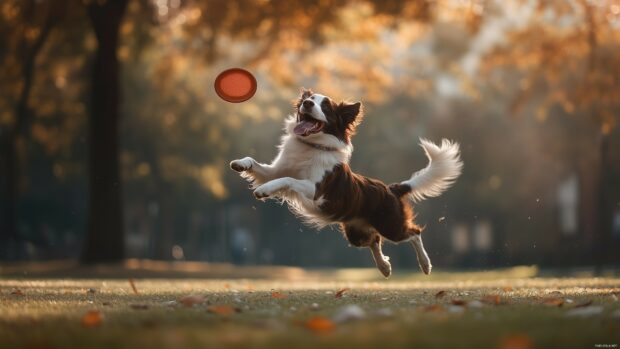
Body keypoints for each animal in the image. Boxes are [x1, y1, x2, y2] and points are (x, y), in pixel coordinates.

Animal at [230, 89, 462, 278]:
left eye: (325, 106)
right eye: (306, 100)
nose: (307, 104)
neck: (312, 146)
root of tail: (391, 189)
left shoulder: (316, 189)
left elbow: (288, 179)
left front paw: (264, 190)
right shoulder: (275, 170)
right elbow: (260, 166)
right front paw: (240, 163)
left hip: (391, 226)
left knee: (414, 234)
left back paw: (425, 265)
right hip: (355, 233)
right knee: (374, 240)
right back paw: (384, 267)